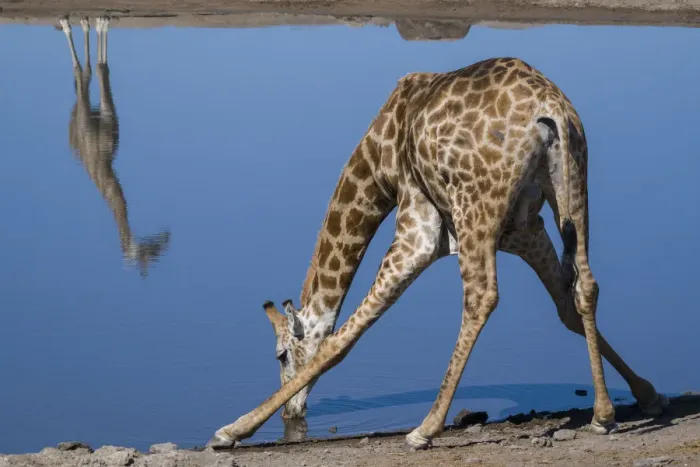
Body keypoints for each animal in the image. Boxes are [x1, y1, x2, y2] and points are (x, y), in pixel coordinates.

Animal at [59, 16, 171, 277]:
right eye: (146, 256)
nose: (163, 240)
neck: (103, 159)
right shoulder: (96, 117)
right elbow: (99, 67)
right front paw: (102, 22)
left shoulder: (109, 117)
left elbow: (102, 67)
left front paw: (101, 21)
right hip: (79, 113)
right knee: (81, 73)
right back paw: (68, 22)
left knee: (86, 73)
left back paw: (85, 22)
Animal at [209, 57, 669, 450]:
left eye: (282, 354)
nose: (292, 414)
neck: (378, 160)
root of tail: (550, 109)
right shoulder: (524, 231)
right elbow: (566, 307)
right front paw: (646, 394)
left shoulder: (419, 227)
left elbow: (341, 339)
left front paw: (232, 429)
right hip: (572, 188)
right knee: (586, 283)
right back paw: (603, 414)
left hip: (475, 209)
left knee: (481, 296)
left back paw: (425, 428)